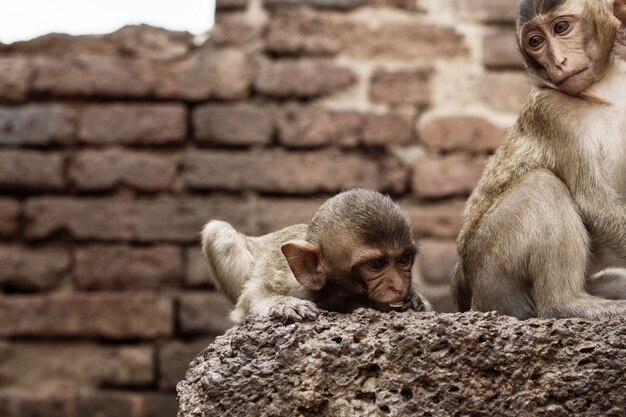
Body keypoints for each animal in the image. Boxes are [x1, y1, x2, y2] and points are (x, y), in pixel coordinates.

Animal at [200, 188, 428, 322]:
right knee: (219, 231)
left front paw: (414, 299)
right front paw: (284, 304)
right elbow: (251, 297)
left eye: (403, 259)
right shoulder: (295, 284)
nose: (399, 286)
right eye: (379, 263)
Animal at [450, 0, 624, 316]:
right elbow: (595, 203)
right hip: (490, 266)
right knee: (541, 185)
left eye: (561, 27)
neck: (603, 94)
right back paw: (565, 304)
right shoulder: (549, 112)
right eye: (535, 42)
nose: (559, 61)